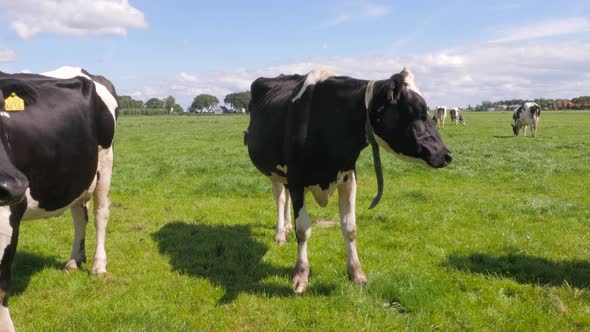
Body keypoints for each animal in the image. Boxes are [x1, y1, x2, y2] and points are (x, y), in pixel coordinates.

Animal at [0, 67, 119, 330]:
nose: (14, 186)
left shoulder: (8, 216)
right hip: (75, 176)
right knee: (79, 218)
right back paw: (74, 261)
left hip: (105, 161)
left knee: (100, 215)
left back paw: (98, 265)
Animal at [245, 68, 454, 294]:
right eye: (416, 110)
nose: (446, 155)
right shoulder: (296, 181)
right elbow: (303, 230)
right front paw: (301, 275)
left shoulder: (348, 178)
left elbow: (350, 228)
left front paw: (356, 273)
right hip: (274, 171)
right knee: (280, 198)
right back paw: (280, 233)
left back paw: (286, 227)